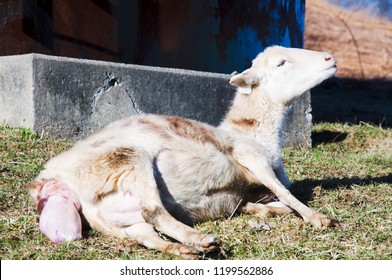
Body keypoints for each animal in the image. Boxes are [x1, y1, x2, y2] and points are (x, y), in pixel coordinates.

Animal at [29, 45, 338, 258]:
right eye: (281, 62)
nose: (330, 58)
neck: (254, 134)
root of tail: (51, 182)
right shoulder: (250, 158)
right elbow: (284, 192)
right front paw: (316, 218)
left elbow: (266, 201)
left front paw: (265, 210)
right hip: (128, 159)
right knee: (154, 211)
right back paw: (201, 240)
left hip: (116, 219)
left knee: (146, 235)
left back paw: (185, 248)